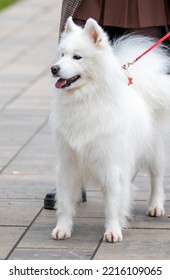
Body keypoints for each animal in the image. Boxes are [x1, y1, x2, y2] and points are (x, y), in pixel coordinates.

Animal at [50, 16, 170, 242]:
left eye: (77, 57)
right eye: (62, 55)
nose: (54, 68)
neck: (85, 100)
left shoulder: (112, 165)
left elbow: (112, 205)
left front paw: (113, 231)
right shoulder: (69, 163)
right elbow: (65, 202)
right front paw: (62, 228)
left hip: (156, 151)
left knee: (157, 179)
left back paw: (156, 207)